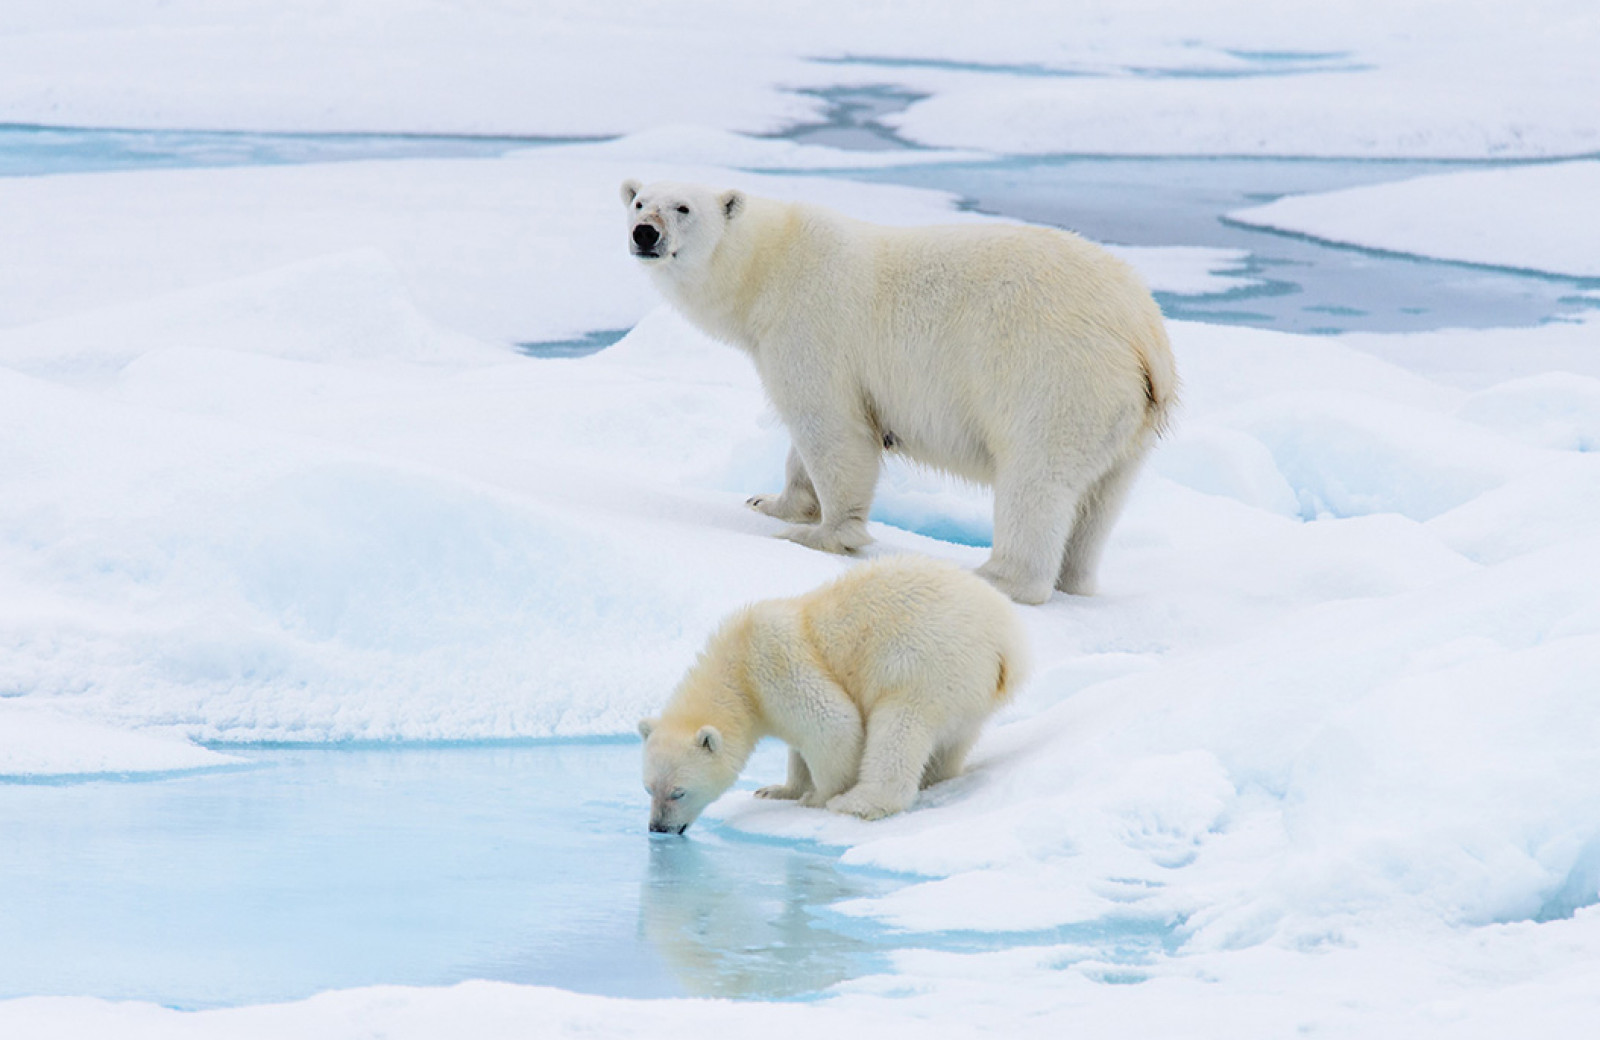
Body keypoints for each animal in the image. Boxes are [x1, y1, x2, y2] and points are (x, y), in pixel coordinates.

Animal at [624, 176, 1177, 598]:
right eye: (638, 200)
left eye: (683, 207)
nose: (644, 233)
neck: (771, 264)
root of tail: (1143, 333)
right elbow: (803, 445)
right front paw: (769, 502)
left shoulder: (812, 326)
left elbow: (832, 428)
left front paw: (820, 535)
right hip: (1127, 420)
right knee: (1101, 501)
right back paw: (1074, 580)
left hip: (1057, 377)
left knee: (1037, 480)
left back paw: (997, 576)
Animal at [630, 553, 1017, 832]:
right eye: (648, 788)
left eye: (678, 792)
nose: (658, 828)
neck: (736, 667)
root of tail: (1007, 645)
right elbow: (799, 746)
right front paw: (777, 790)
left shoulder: (775, 661)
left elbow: (834, 724)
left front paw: (817, 797)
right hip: (966, 692)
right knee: (953, 742)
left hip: (923, 663)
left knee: (899, 728)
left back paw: (858, 803)